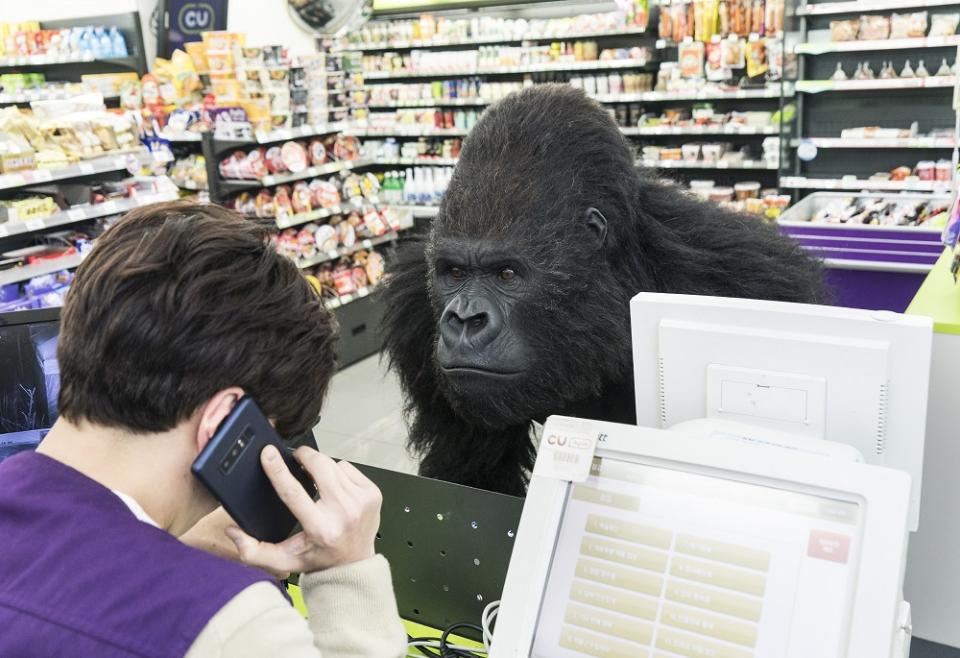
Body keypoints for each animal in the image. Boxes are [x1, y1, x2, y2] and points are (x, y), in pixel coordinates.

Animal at [382, 83, 824, 492]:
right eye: (454, 272)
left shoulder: (750, 277)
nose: (464, 319)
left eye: (507, 274)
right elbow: (469, 476)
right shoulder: (415, 308)